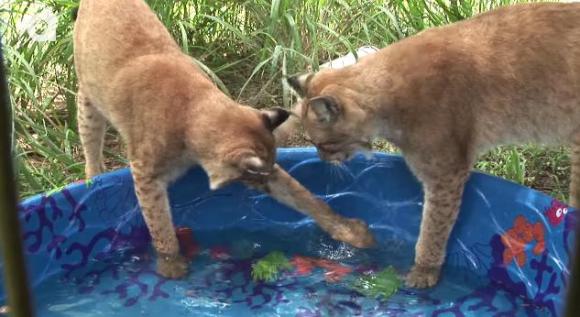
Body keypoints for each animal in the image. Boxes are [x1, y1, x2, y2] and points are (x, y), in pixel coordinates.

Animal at [73, 0, 376, 276]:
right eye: (252, 179)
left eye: (266, 177)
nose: (264, 185)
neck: (194, 108)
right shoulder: (146, 176)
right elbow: (160, 227)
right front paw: (172, 266)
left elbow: (303, 196)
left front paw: (350, 231)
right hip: (88, 100)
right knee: (90, 141)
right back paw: (94, 178)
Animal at [284, 2, 580, 288]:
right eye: (310, 142)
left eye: (324, 144)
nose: (321, 159)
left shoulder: (446, 173)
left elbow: (432, 228)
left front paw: (424, 271)